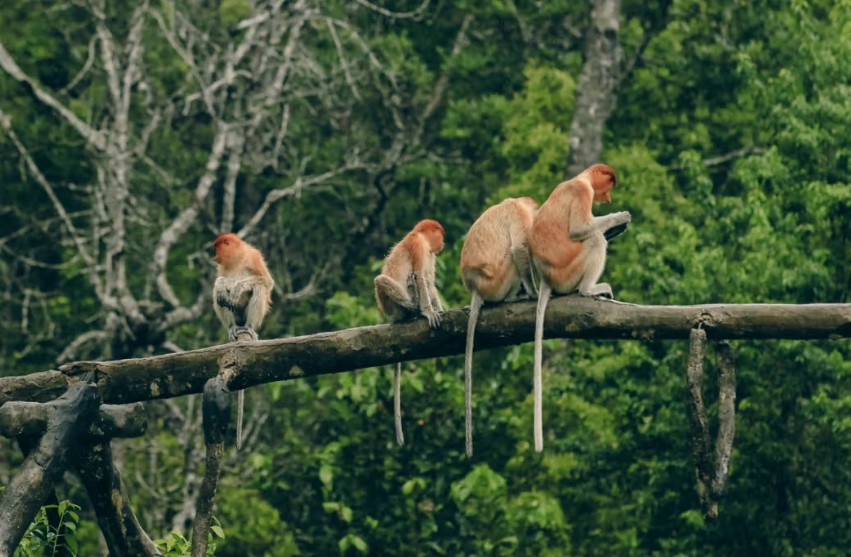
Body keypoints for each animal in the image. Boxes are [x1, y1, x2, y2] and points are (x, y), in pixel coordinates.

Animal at [212, 232, 274, 450]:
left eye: (217, 248)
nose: (214, 257)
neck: (236, 258)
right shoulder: (223, 268)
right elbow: (220, 279)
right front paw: (223, 285)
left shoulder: (253, 257)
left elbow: (265, 281)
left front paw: (237, 287)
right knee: (218, 290)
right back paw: (233, 328)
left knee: (259, 288)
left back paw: (248, 328)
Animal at [374, 219, 446, 446]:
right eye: (440, 233)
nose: (443, 242)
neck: (418, 235)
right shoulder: (419, 246)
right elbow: (420, 276)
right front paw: (429, 313)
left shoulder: (430, 254)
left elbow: (429, 282)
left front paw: (439, 310)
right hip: (391, 304)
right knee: (381, 280)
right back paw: (414, 311)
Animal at [459, 197, 538, 457]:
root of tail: (476, 288)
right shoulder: (518, 215)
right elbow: (519, 248)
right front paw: (533, 293)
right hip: (499, 279)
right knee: (512, 256)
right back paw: (513, 297)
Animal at [528, 163, 631, 452]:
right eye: (608, 186)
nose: (609, 199)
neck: (580, 178)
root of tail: (547, 279)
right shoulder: (583, 193)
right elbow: (578, 229)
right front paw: (620, 217)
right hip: (569, 272)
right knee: (594, 239)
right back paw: (590, 289)